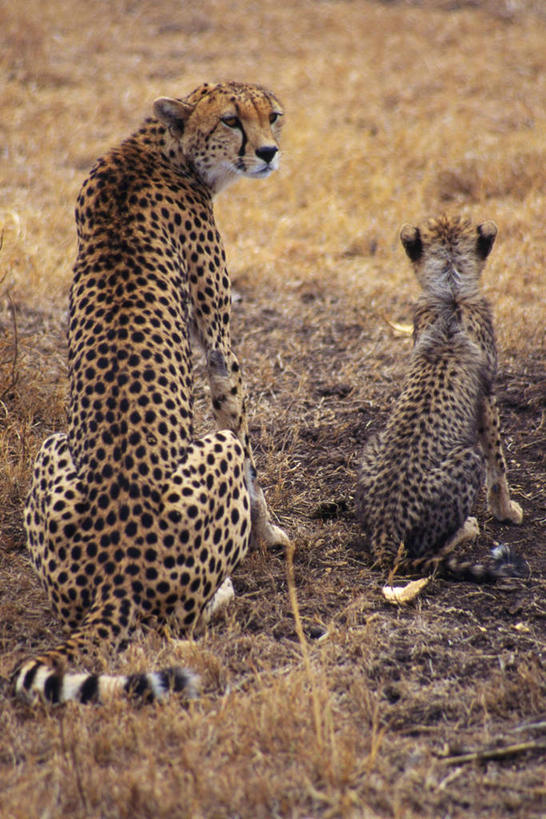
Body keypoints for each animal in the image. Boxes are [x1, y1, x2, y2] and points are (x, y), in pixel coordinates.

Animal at [13, 80, 284, 704]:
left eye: (274, 115)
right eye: (232, 120)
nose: (268, 153)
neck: (160, 147)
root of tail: (118, 575)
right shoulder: (217, 342)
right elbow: (245, 439)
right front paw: (270, 534)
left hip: (51, 447)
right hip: (211, 464)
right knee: (183, 621)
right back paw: (225, 591)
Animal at [354, 215, 520, 580]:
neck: (450, 289)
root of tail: (386, 532)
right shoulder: (487, 396)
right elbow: (497, 460)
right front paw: (505, 510)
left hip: (373, 444)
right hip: (466, 459)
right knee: (432, 549)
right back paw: (468, 527)